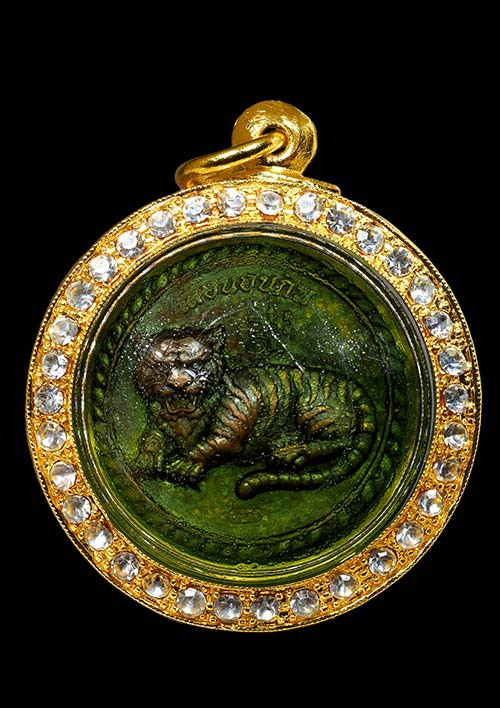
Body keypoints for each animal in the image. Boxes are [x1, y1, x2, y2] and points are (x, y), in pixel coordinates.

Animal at [135, 326, 377, 499]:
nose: (179, 384)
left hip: (310, 406)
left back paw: (291, 451)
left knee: (342, 441)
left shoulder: (228, 434)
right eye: (162, 367)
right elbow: (151, 442)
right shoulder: (157, 427)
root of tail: (351, 384)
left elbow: (206, 446)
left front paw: (182, 465)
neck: (186, 417)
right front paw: (142, 463)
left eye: (196, 364)